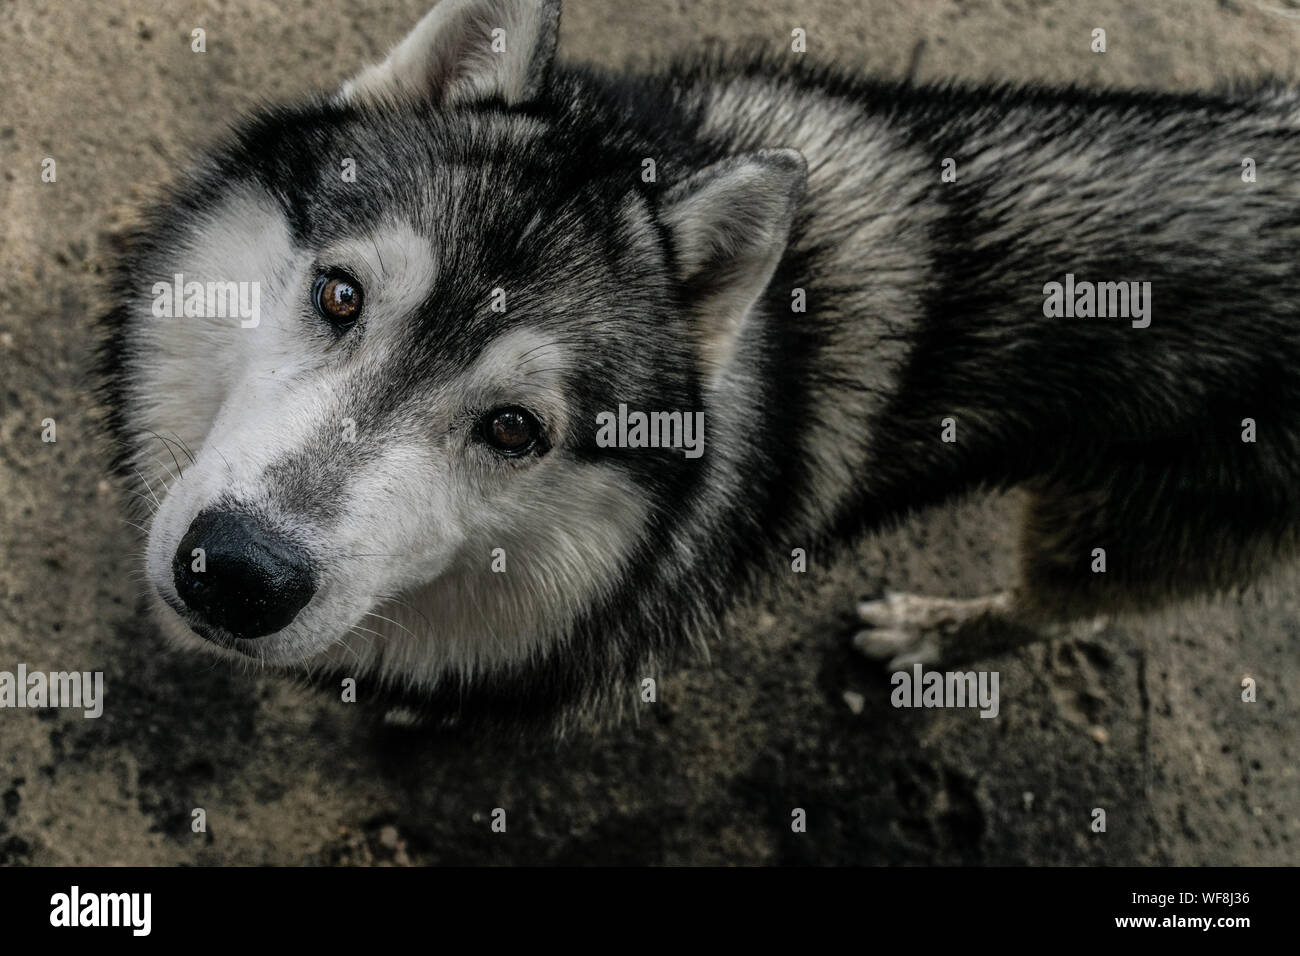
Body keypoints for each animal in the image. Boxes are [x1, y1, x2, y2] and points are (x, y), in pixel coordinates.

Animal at [98, 0, 1300, 723]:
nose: (236, 571)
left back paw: (935, 635)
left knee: (1060, 603)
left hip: (1117, 530)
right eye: (340, 295)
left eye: (514, 429)